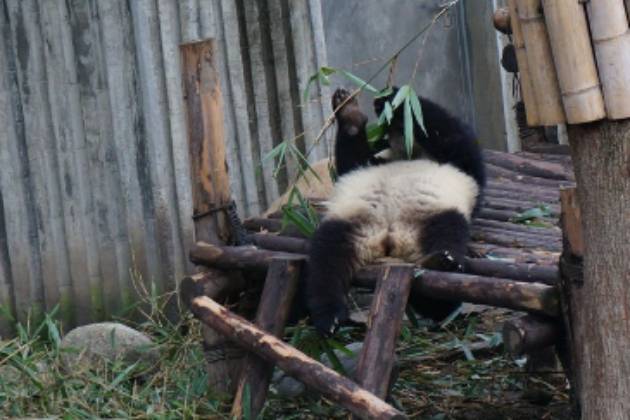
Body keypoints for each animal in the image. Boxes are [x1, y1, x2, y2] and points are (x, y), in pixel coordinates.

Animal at [306, 88, 488, 334]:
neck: (407, 151)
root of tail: (387, 239)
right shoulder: (370, 163)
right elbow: (352, 161)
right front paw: (350, 113)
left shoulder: (460, 164)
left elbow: (448, 134)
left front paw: (392, 98)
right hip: (350, 223)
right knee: (326, 263)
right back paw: (330, 316)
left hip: (432, 217)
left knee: (447, 237)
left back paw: (441, 263)